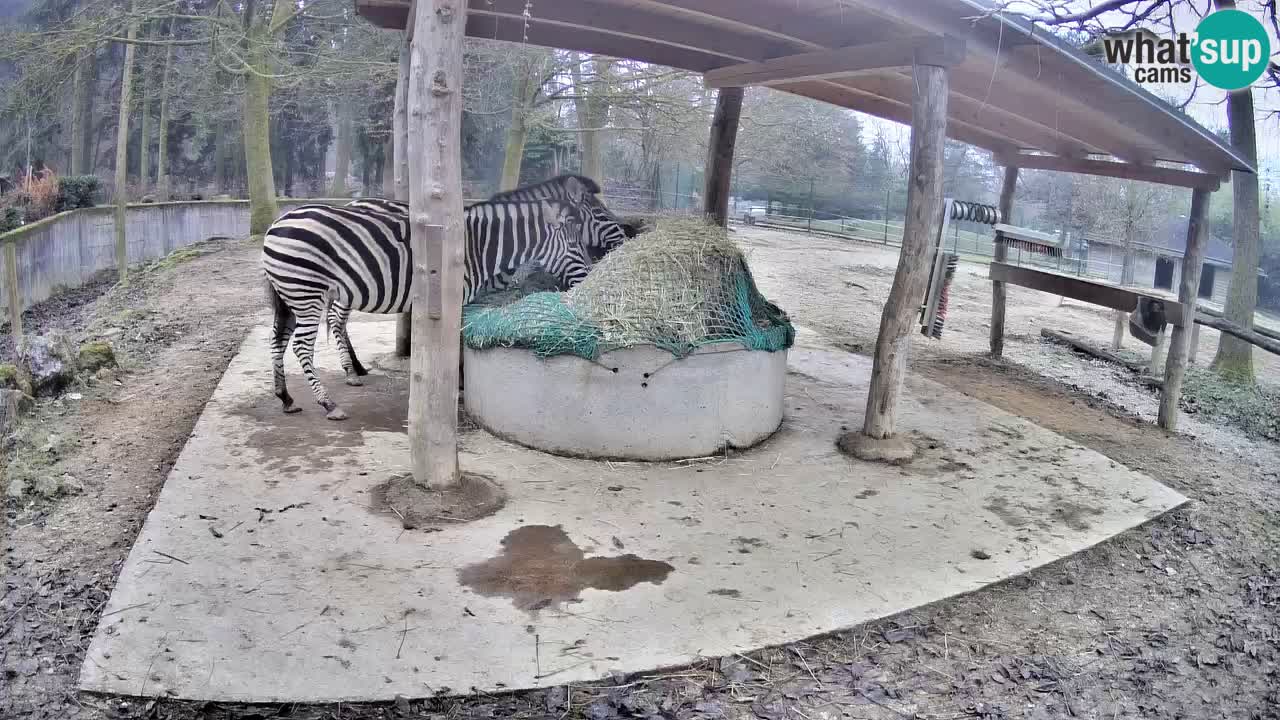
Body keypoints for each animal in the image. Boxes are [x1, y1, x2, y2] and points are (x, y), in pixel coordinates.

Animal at [261, 197, 589, 420]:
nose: (587, 276)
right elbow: (458, 339)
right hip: (307, 292)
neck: (479, 249)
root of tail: (275, 225)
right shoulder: (457, 297)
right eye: (575, 247)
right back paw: (329, 402)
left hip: (290, 294)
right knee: (302, 346)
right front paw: (458, 382)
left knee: (278, 341)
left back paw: (286, 397)